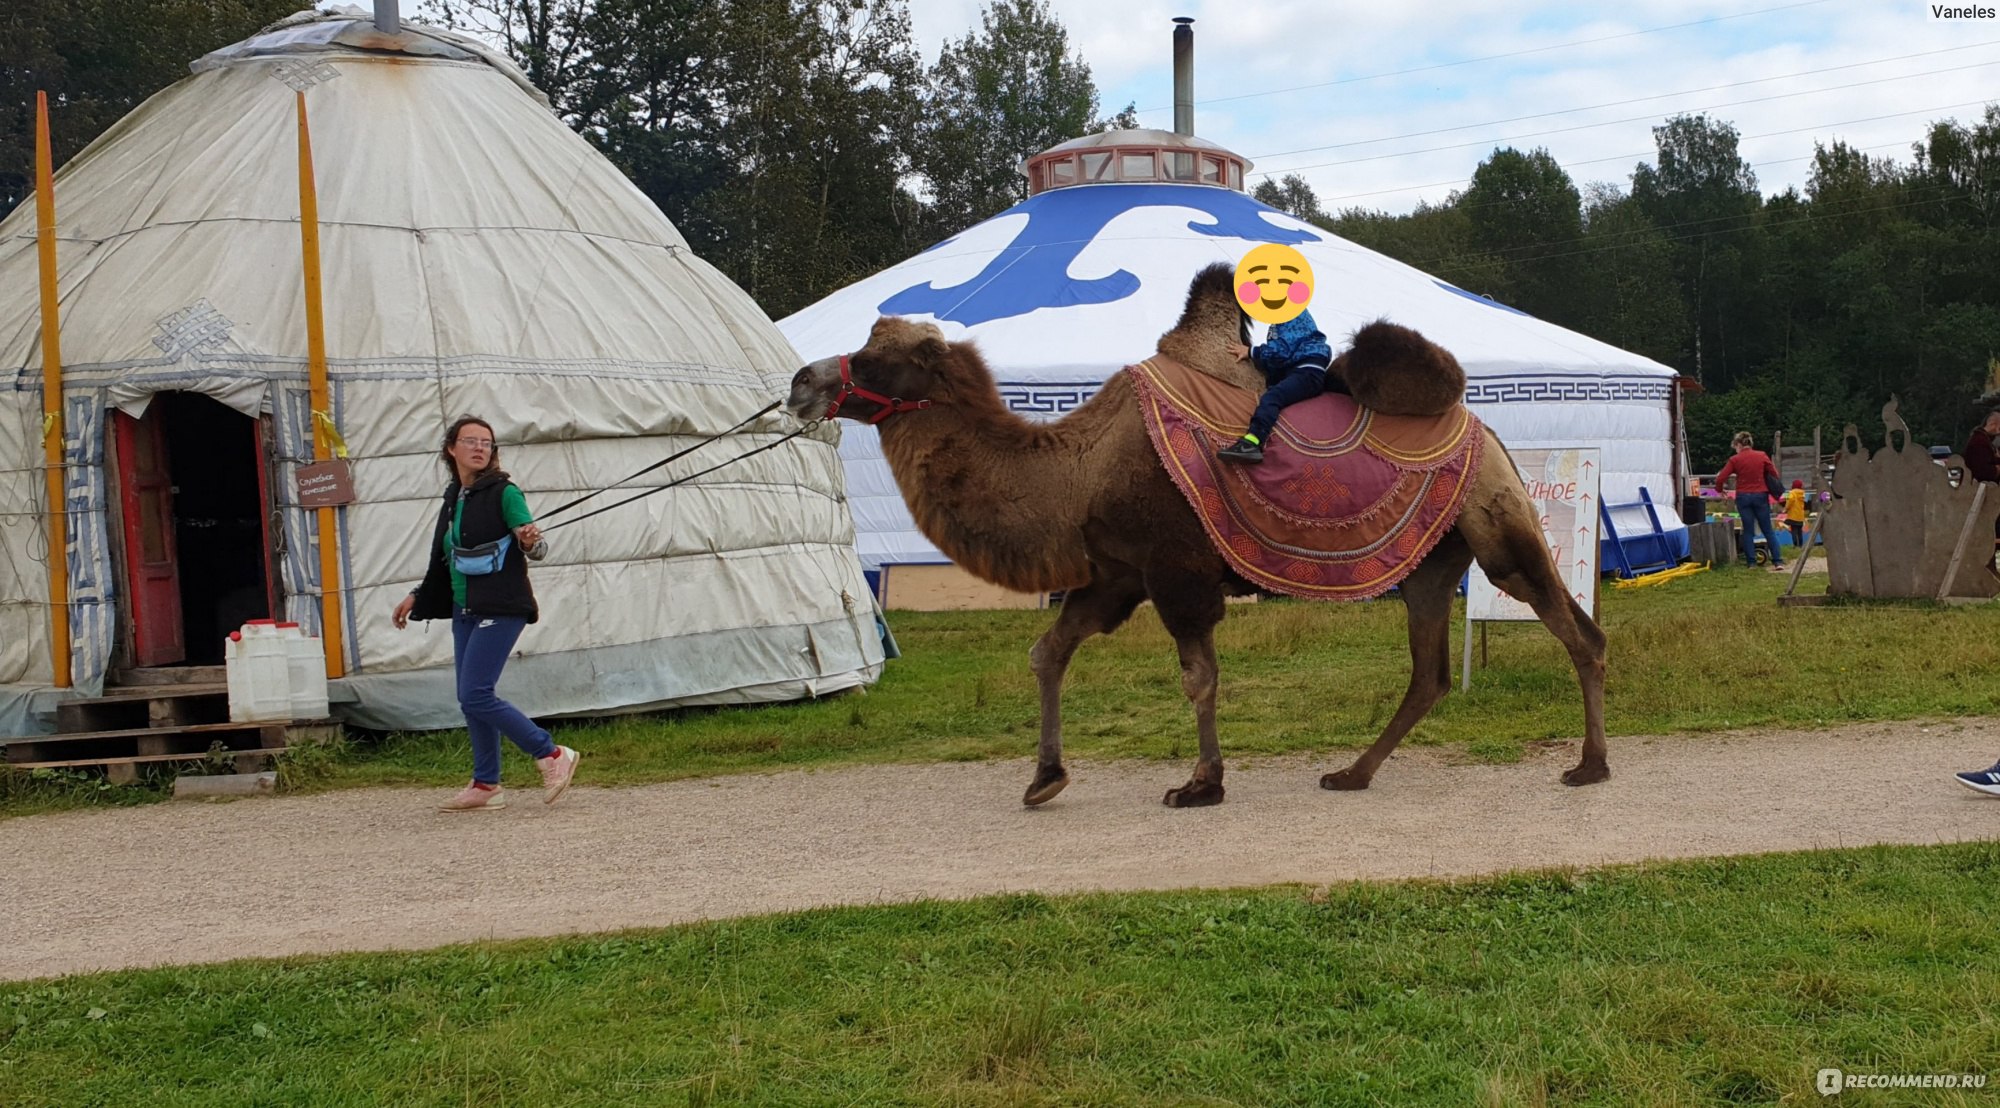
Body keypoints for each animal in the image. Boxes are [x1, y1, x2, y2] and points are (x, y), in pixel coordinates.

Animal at [780, 264, 1608, 808]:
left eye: (880, 357)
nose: (800, 381)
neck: (1080, 469)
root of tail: (1484, 430)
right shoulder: (1116, 574)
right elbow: (1048, 652)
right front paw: (1045, 777)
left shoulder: (1175, 569)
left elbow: (1198, 676)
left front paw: (1201, 782)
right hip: (1432, 562)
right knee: (1429, 671)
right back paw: (1352, 773)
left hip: (1496, 520)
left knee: (1575, 629)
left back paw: (1589, 766)